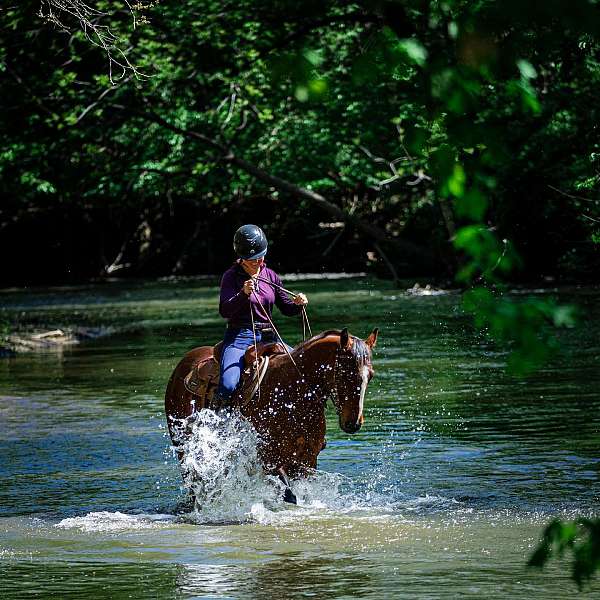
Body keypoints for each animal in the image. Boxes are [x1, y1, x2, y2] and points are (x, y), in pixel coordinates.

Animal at [164, 328, 378, 502]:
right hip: (183, 448)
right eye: (346, 373)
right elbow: (290, 495)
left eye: (371, 375)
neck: (292, 392)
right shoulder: (268, 456)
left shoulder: (307, 459)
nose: (353, 423)